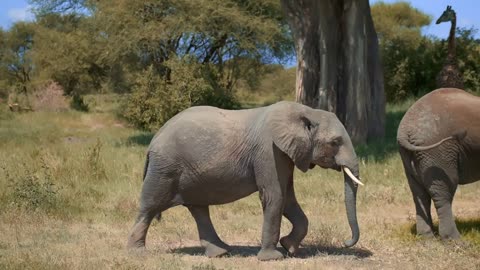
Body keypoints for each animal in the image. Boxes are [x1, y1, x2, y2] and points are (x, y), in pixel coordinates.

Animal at [125, 100, 362, 260]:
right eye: (335, 142)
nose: (345, 242)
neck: (306, 111)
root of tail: (154, 139)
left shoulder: (285, 154)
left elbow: (287, 197)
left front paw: (289, 247)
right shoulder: (269, 151)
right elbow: (275, 196)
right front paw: (273, 258)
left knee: (199, 208)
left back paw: (221, 253)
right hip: (165, 169)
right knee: (150, 206)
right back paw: (138, 253)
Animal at [396, 87, 478, 239]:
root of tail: (405, 130)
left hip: (409, 155)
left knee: (419, 194)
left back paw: (427, 238)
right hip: (438, 153)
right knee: (443, 193)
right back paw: (454, 240)